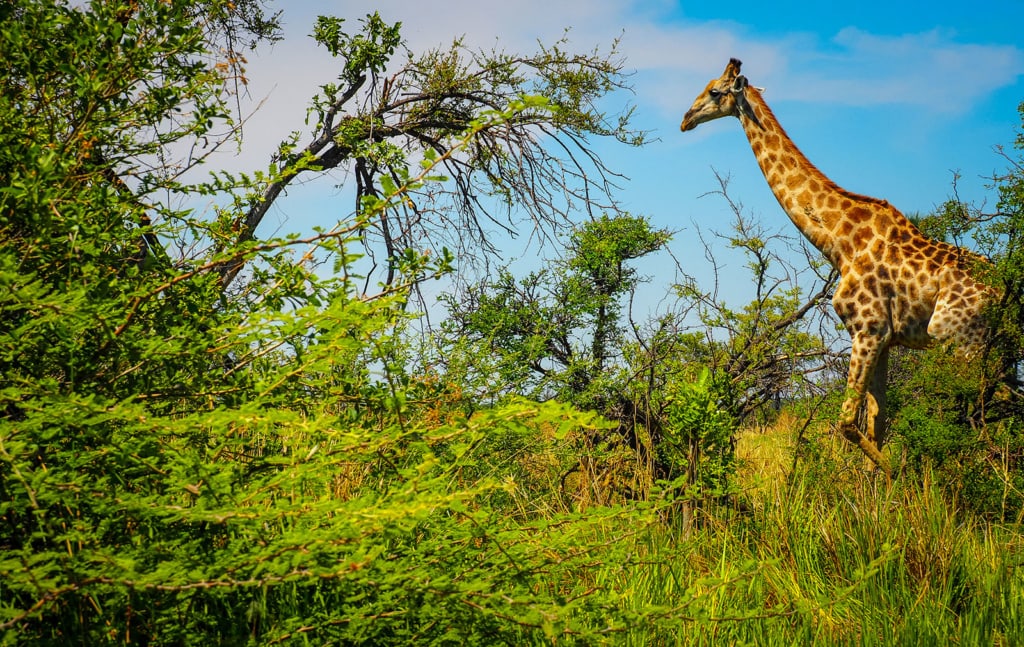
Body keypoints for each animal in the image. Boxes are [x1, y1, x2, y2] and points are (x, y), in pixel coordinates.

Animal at [680, 58, 994, 477]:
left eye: (714, 91)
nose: (685, 119)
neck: (841, 241)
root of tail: (1005, 291)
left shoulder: (868, 329)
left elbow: (847, 422)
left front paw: (896, 478)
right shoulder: (885, 339)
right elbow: (877, 423)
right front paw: (877, 491)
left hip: (961, 343)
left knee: (981, 413)